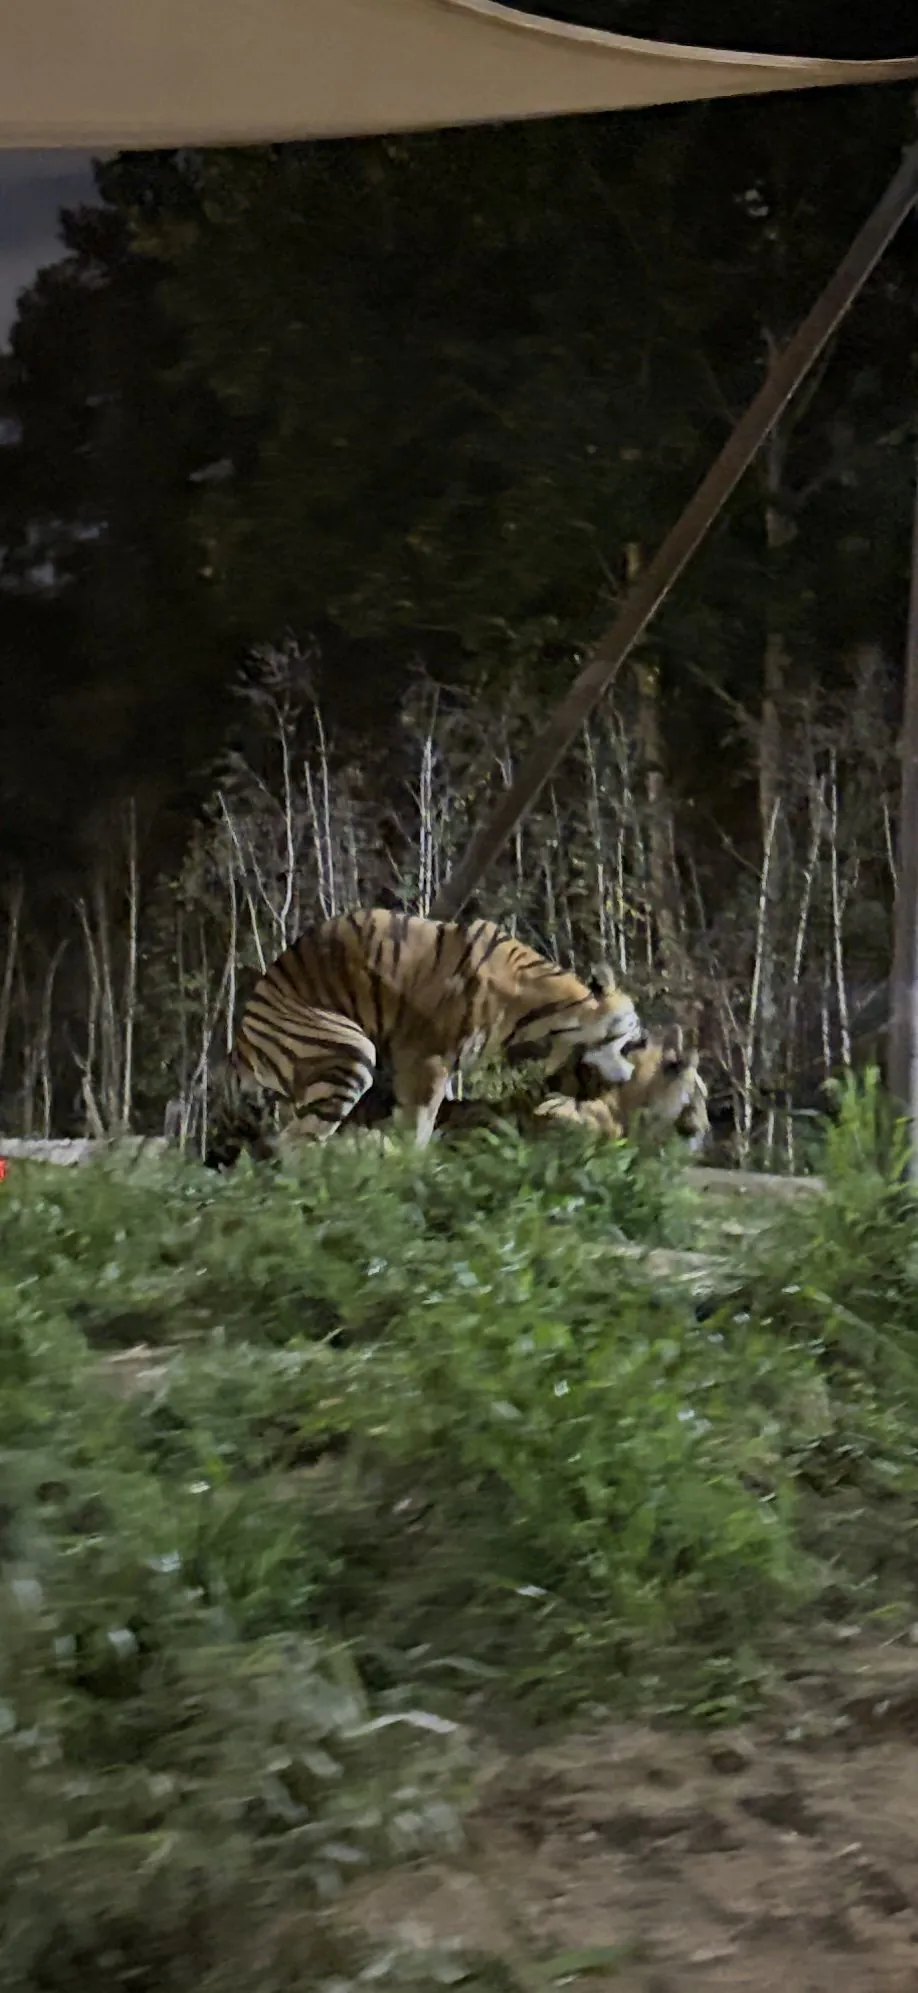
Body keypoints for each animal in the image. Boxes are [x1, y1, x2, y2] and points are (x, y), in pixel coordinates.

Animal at [223, 909, 642, 1152]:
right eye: (630, 1033)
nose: (636, 1065)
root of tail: (240, 1041)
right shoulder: (426, 1059)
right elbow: (419, 1124)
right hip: (348, 1051)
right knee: (296, 1143)